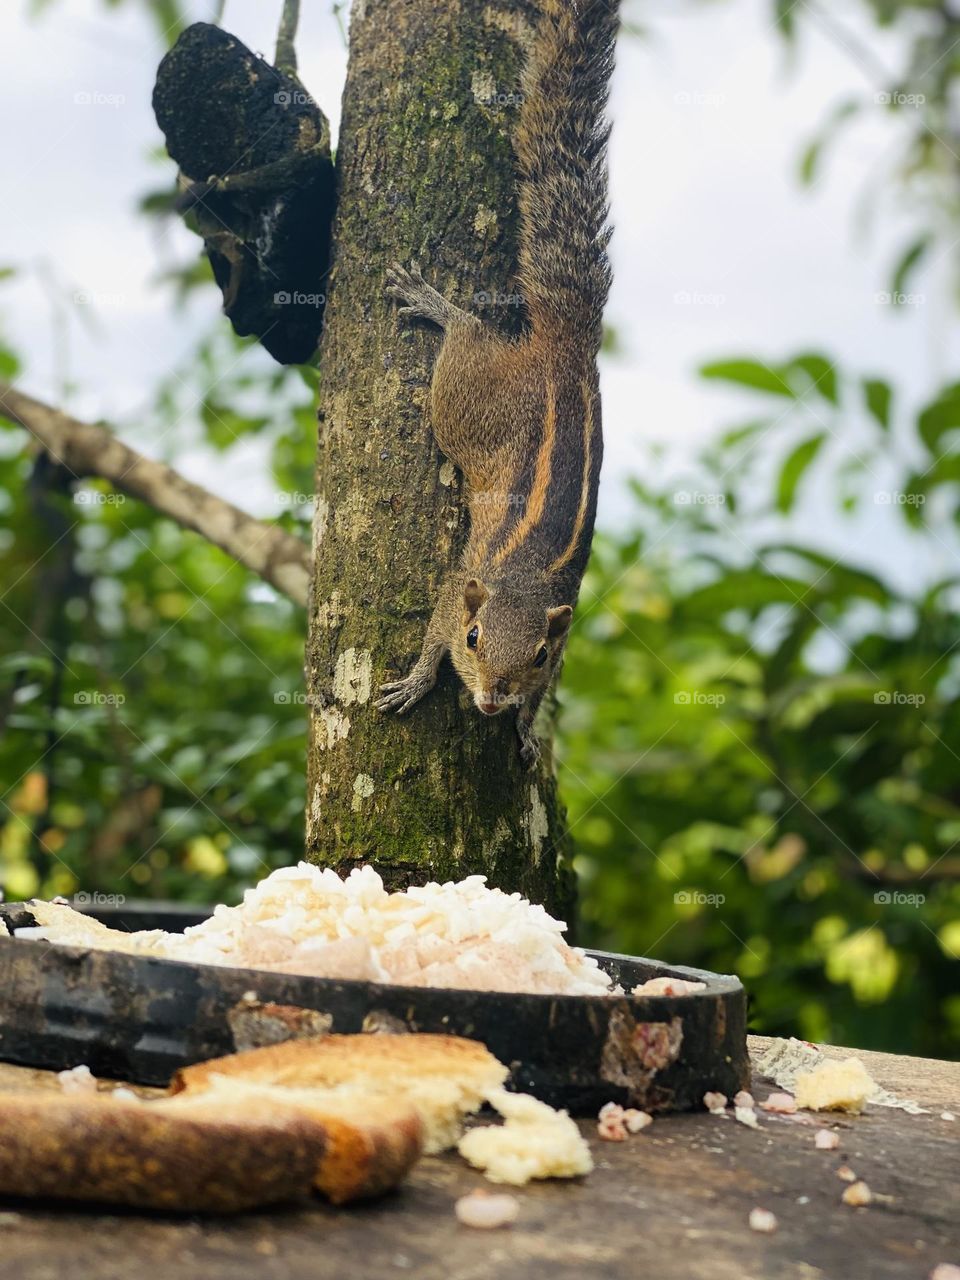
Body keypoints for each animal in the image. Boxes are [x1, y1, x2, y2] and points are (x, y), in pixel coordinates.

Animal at [375, 0, 618, 766]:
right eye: (475, 639)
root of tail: (570, 345)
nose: (488, 699)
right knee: (467, 338)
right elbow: (431, 633)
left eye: (539, 656)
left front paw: (525, 729)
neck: (523, 581)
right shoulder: (458, 588)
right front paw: (417, 681)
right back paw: (437, 304)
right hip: (467, 396)